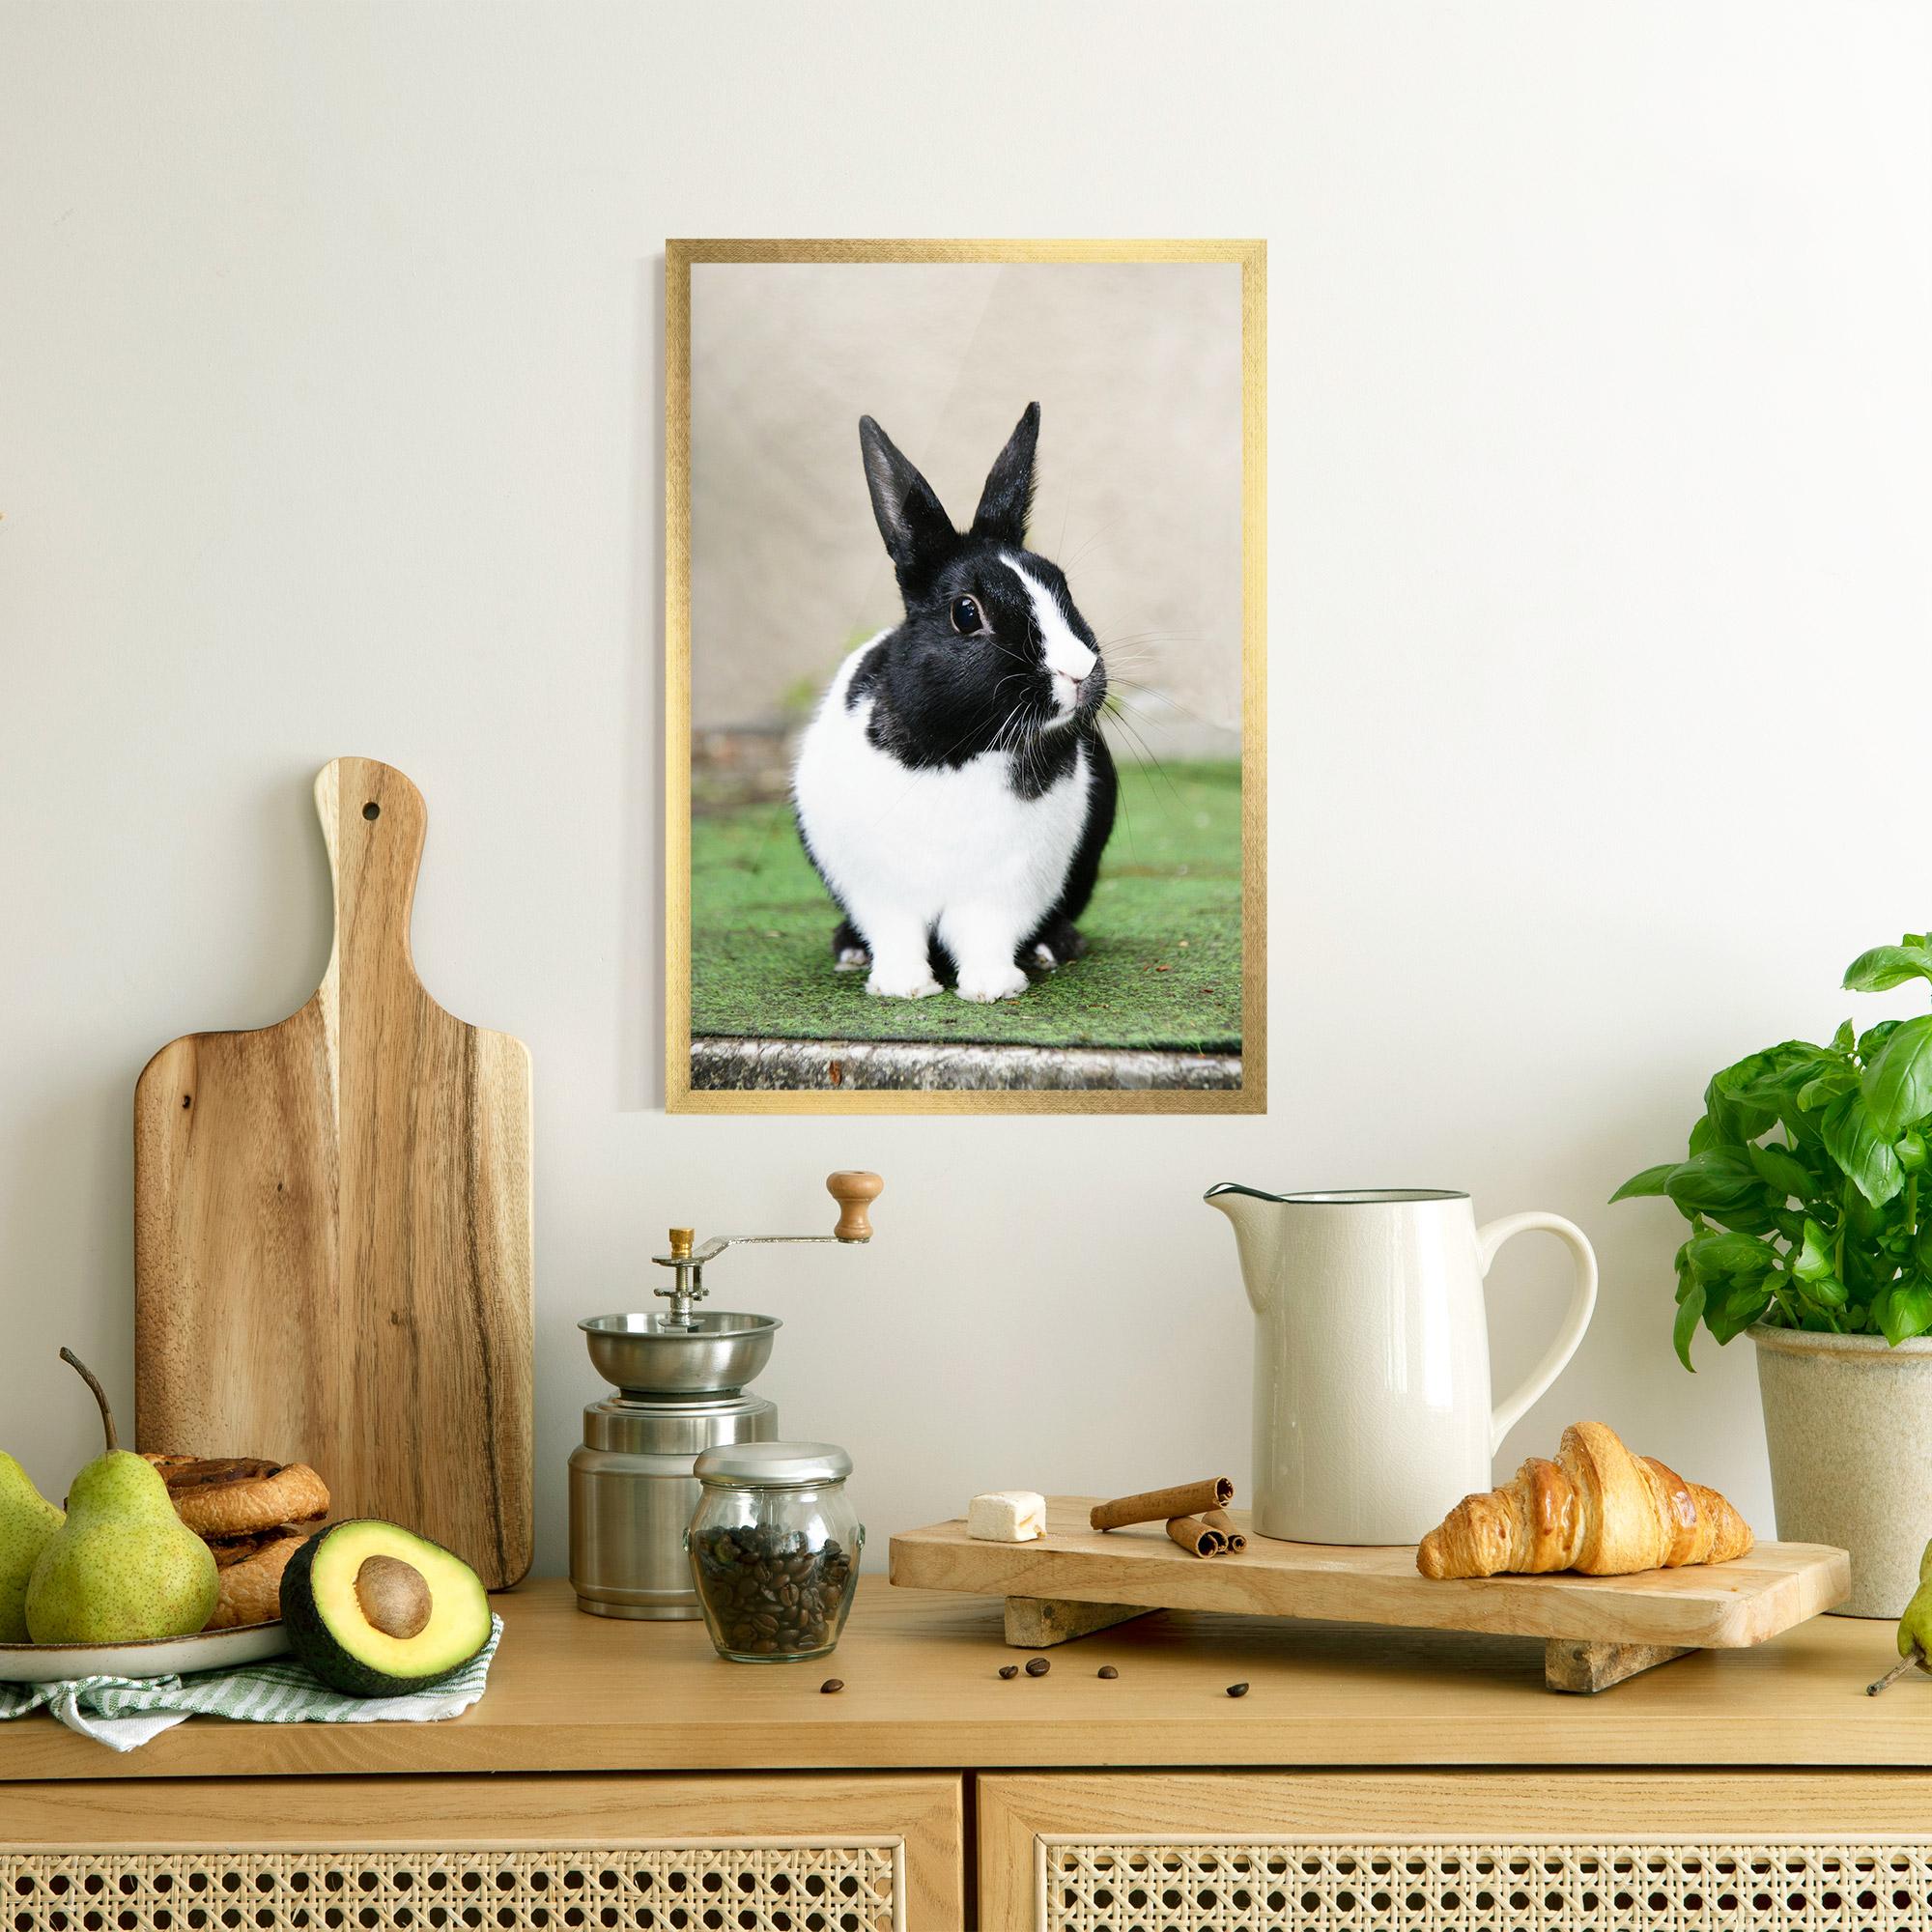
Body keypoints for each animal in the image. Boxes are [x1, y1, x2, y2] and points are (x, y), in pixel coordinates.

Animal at [792, 402, 1117, 1003]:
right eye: (967, 613)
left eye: (1061, 585)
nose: (1080, 671)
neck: (959, 750)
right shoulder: (880, 888)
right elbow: (896, 934)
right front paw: (902, 988)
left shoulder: (1005, 888)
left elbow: (985, 935)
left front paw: (992, 988)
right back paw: (849, 950)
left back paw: (1053, 947)